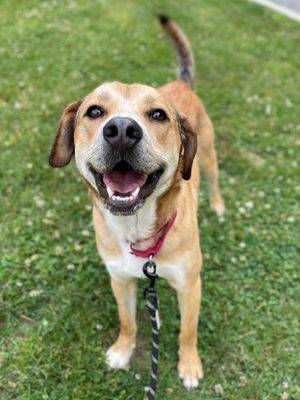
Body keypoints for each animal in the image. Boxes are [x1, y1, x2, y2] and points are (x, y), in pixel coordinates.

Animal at [49, 16, 224, 390]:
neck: (137, 230)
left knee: (215, 179)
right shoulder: (120, 279)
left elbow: (188, 333)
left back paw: (218, 206)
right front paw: (122, 350)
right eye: (94, 111)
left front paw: (189, 365)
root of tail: (180, 83)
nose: (121, 131)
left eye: (158, 115)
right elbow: (127, 321)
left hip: (209, 153)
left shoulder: (190, 285)